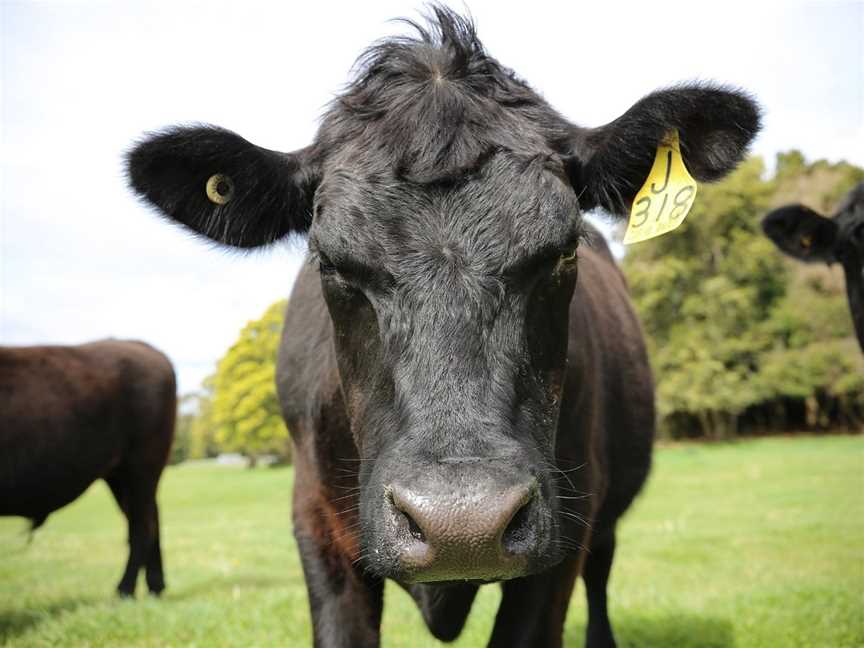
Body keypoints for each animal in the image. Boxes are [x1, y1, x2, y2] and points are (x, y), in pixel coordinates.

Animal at [0, 340, 177, 596]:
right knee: (148, 519)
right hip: (121, 477)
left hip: (141, 467)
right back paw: (155, 587)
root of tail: (143, 346)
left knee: (141, 527)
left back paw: (124, 590)